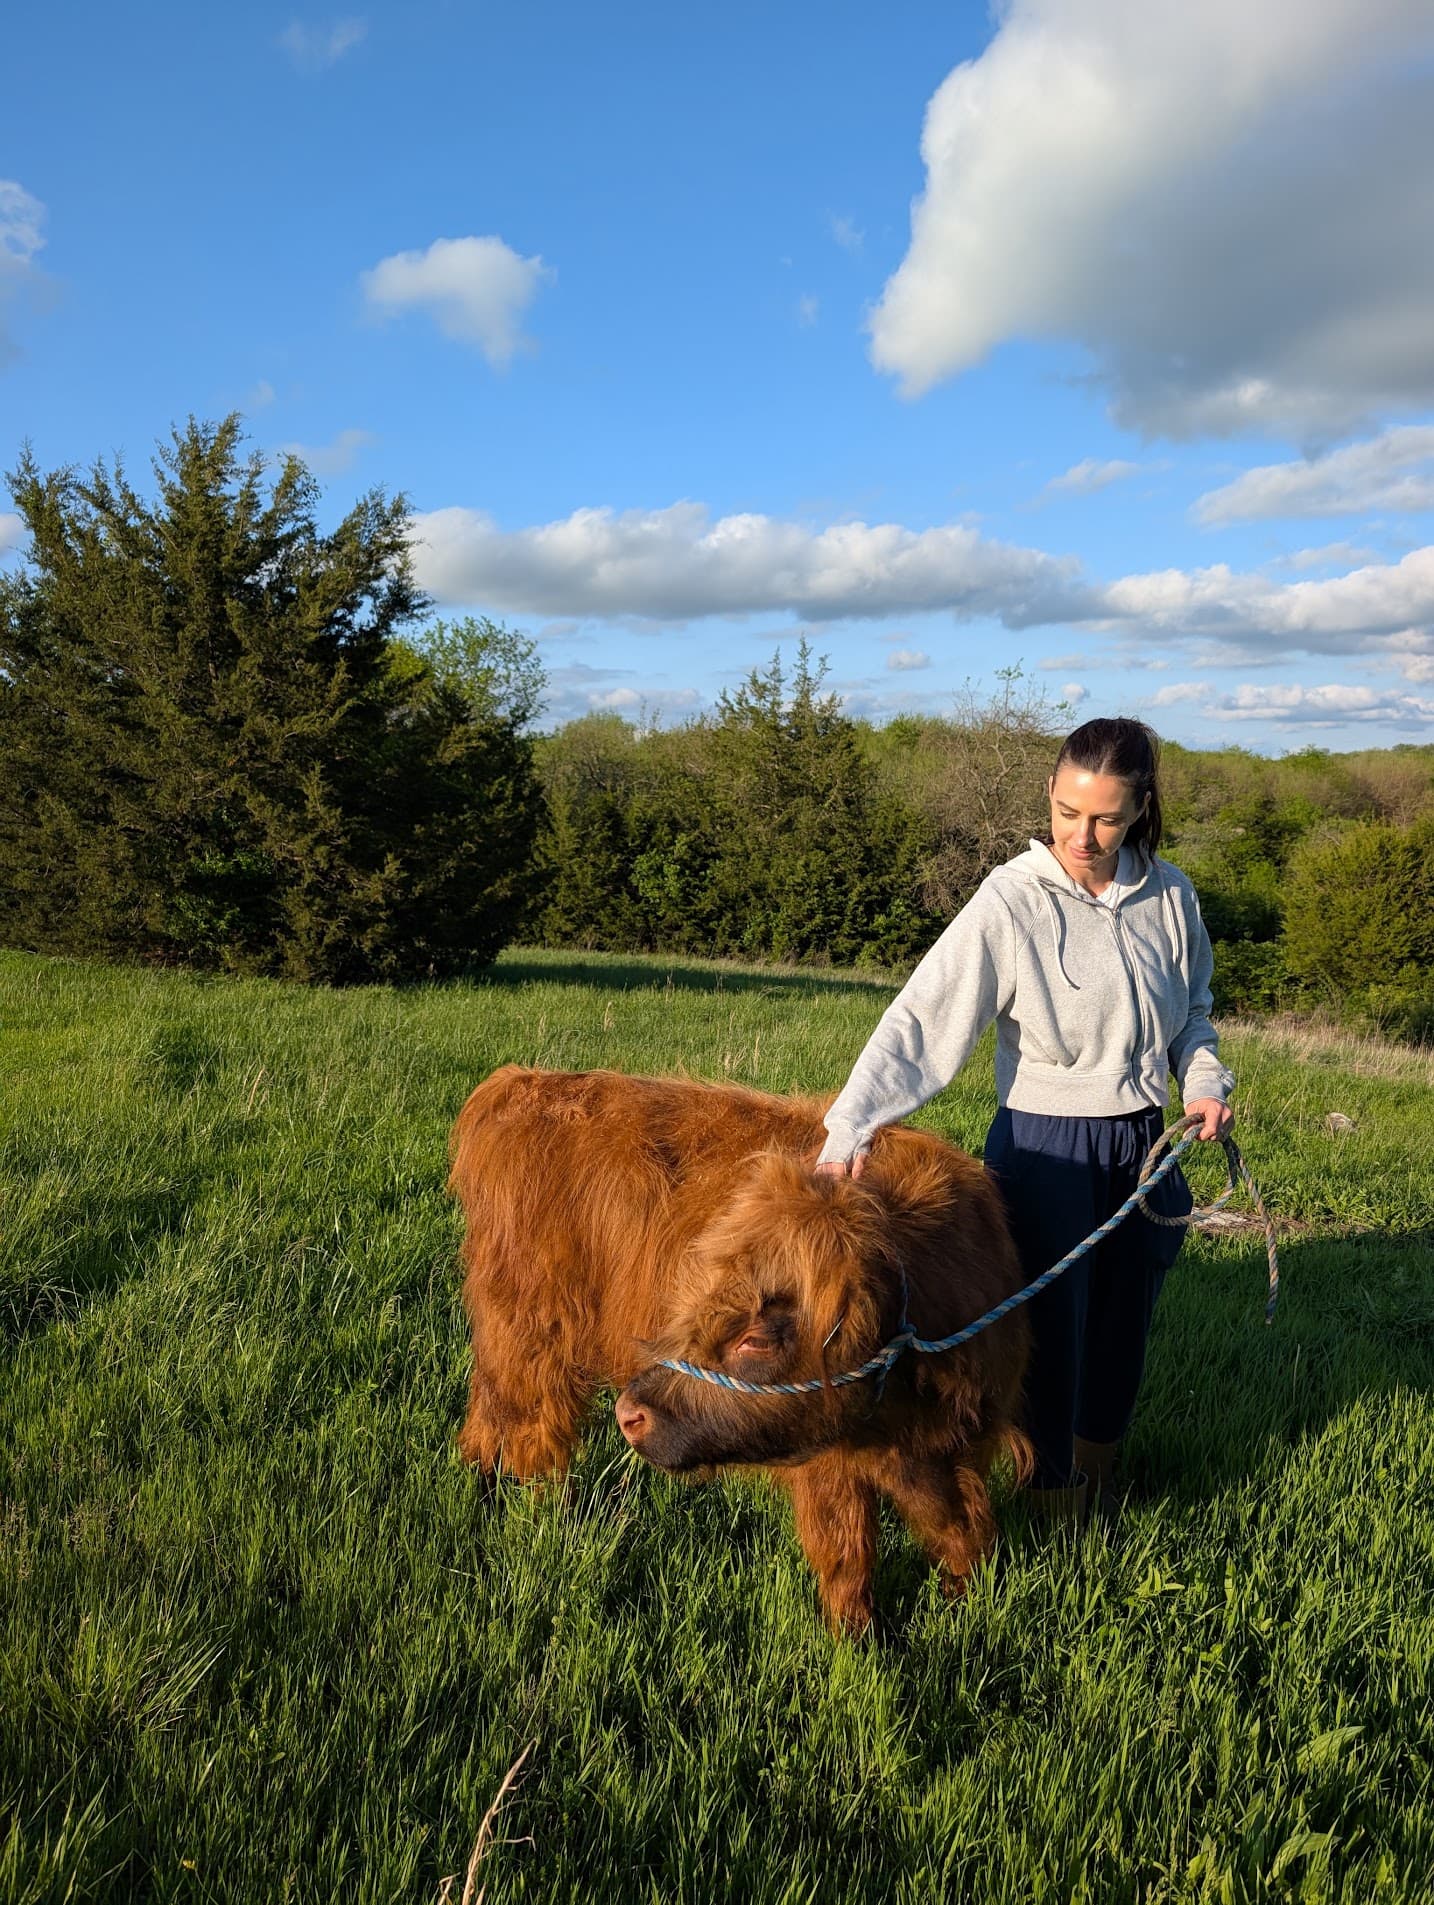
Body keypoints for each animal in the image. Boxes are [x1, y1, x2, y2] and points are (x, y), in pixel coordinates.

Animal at [448, 1065, 1031, 1633]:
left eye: (756, 1337)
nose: (629, 1414)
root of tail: (524, 1083)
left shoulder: (959, 1449)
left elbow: (962, 1528)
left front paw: (961, 1603)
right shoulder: (828, 1464)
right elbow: (847, 1553)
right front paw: (856, 1640)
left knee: (489, 1411)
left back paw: (481, 1486)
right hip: (532, 1336)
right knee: (530, 1431)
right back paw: (540, 1513)